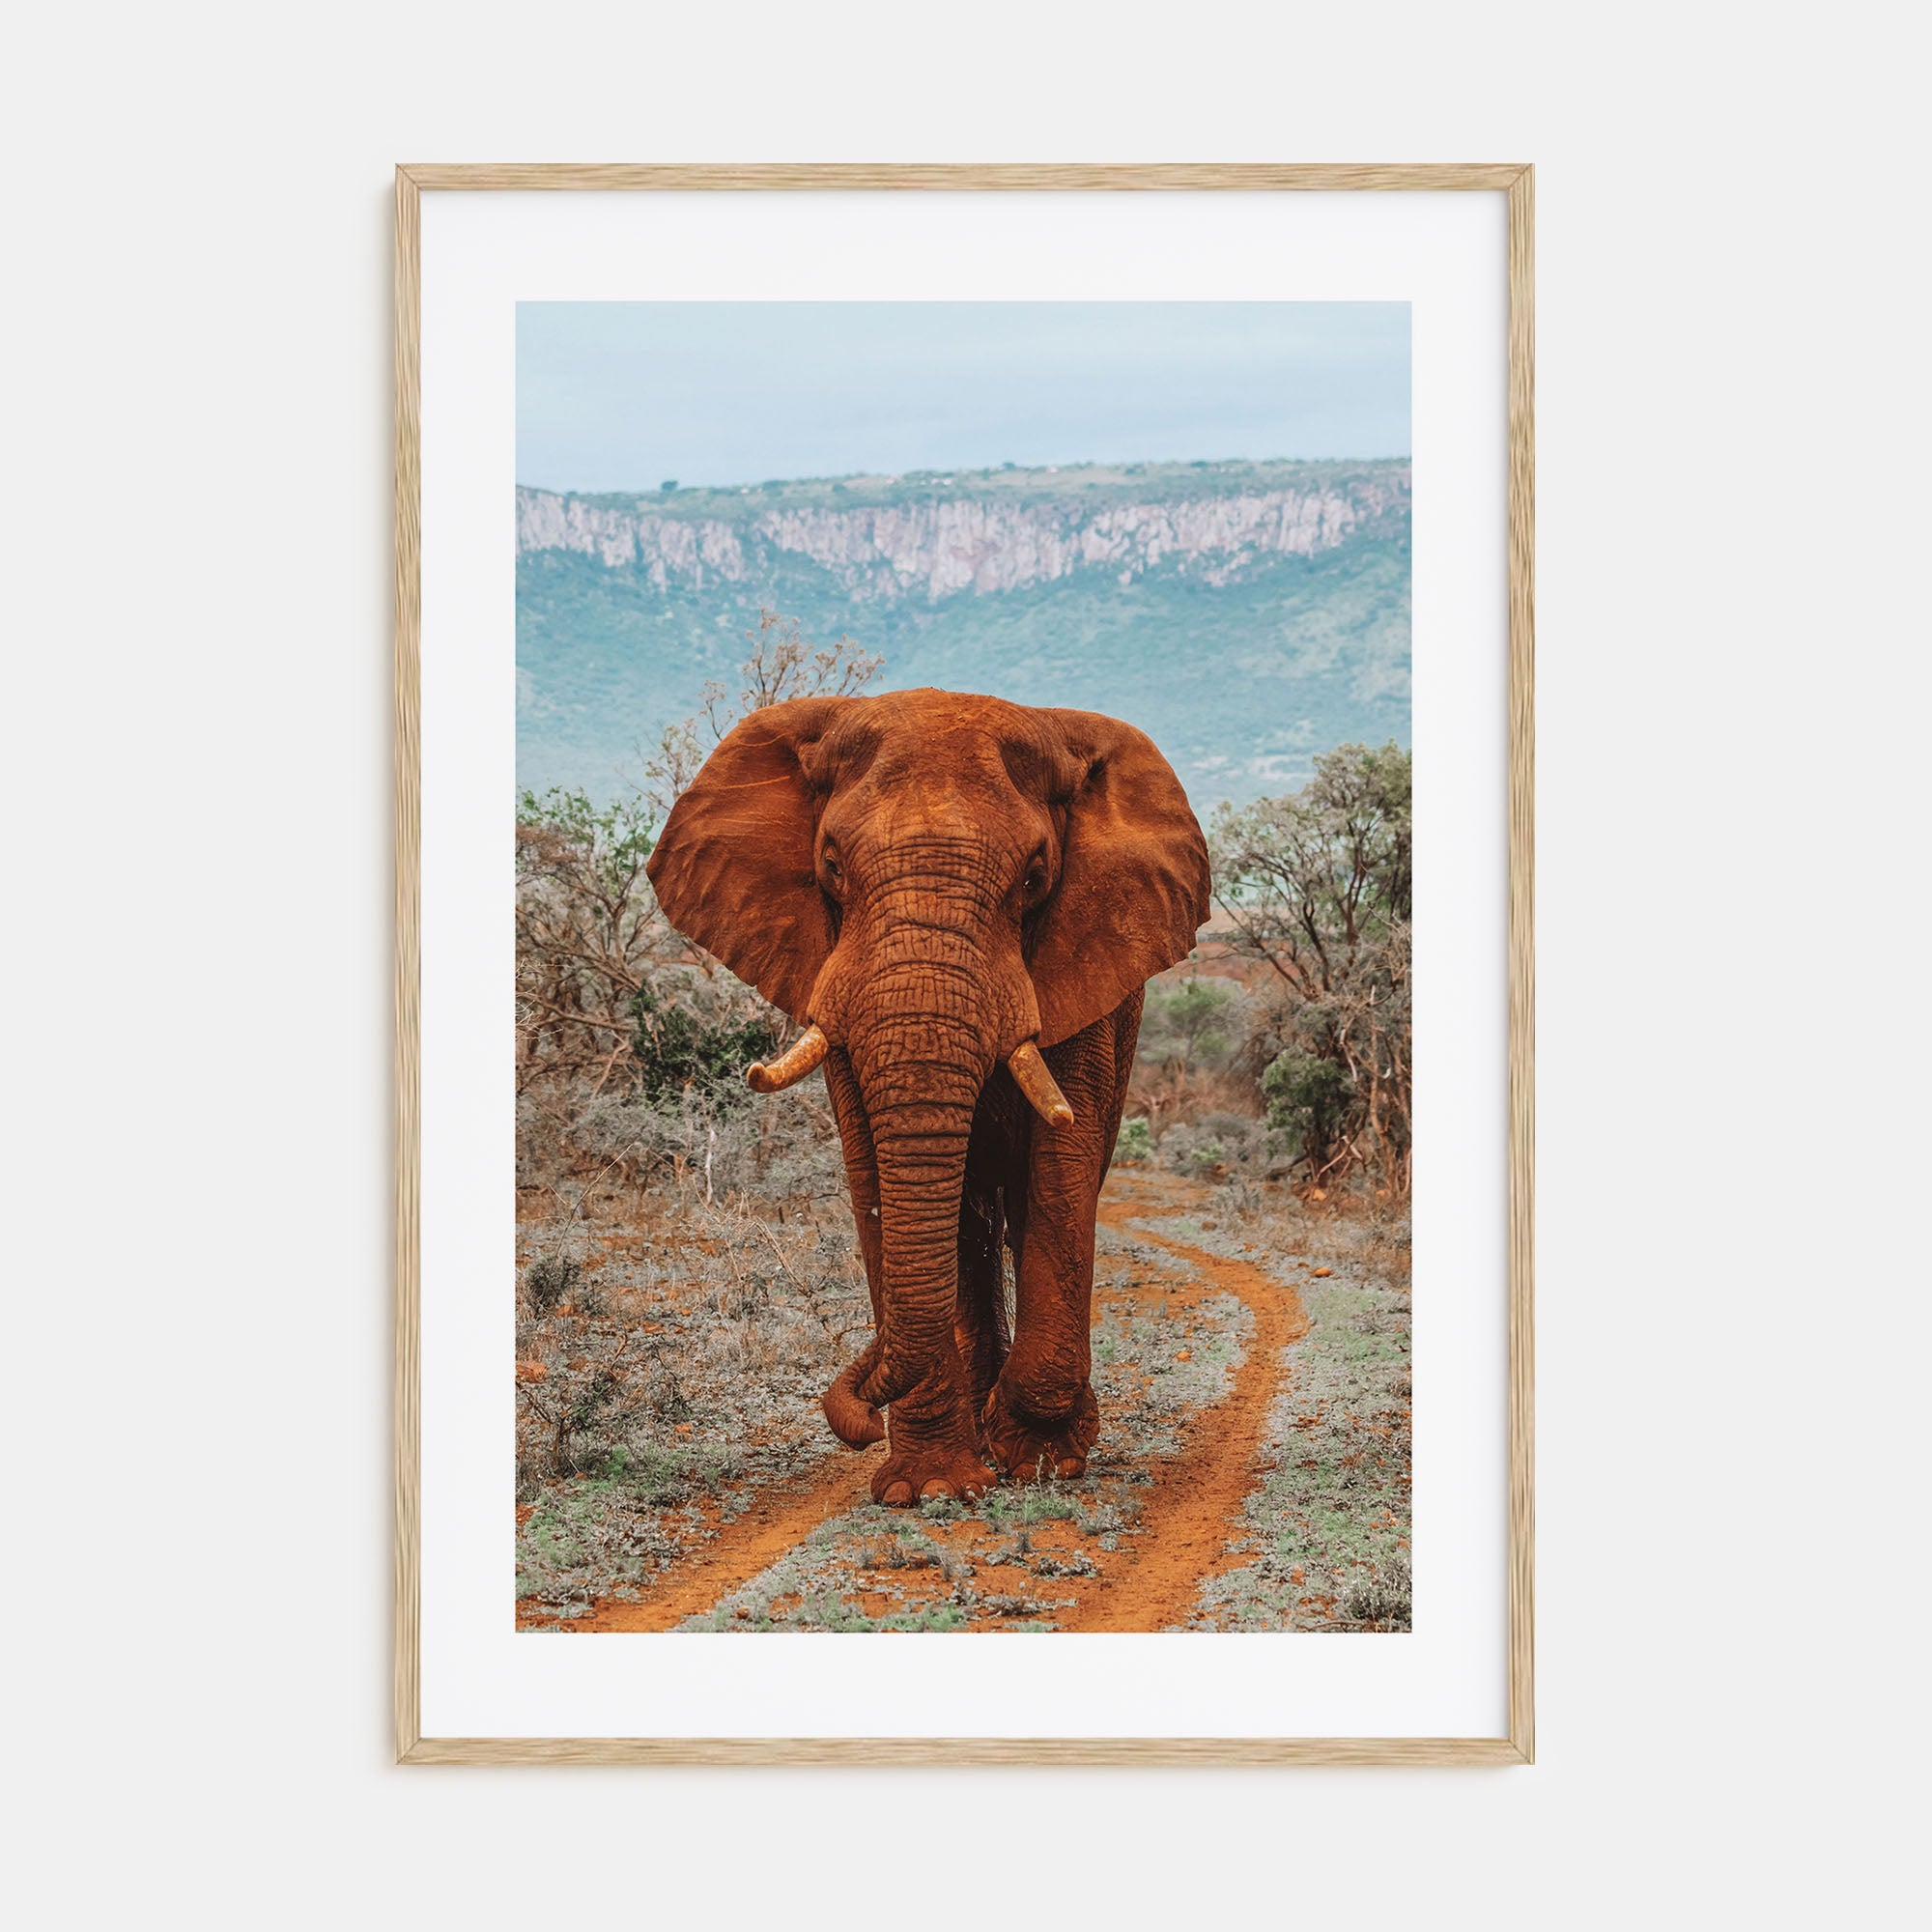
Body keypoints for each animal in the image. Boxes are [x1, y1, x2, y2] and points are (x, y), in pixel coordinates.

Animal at [645, 687, 1211, 1504]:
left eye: (1036, 876)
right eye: (830, 864)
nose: (852, 1419)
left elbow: (1063, 1161)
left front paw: (1042, 1460)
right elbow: (871, 1172)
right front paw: (932, 1489)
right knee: (968, 1228)